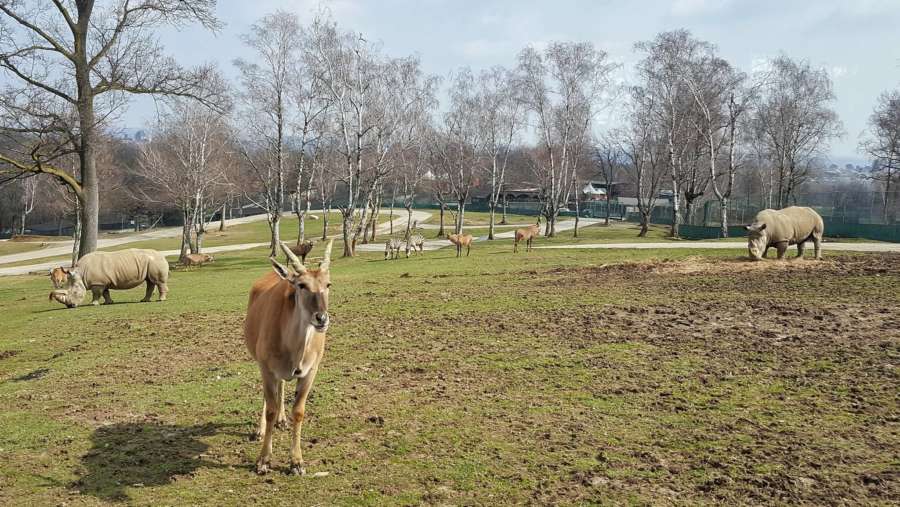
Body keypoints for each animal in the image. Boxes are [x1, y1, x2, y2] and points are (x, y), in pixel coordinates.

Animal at [243, 238, 334, 476]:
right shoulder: (266, 368)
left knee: (281, 388)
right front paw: (264, 460)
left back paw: (282, 420)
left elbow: (299, 411)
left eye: (328, 284)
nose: (321, 318)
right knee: (269, 398)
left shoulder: (310, 372)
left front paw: (297, 462)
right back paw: (261, 430)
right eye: (301, 285)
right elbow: (270, 409)